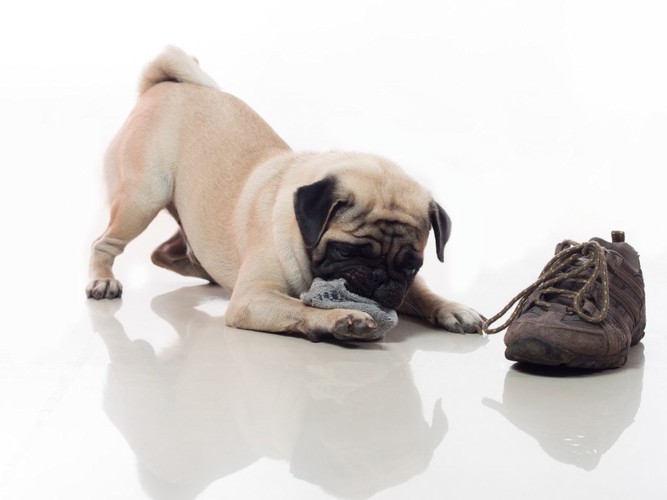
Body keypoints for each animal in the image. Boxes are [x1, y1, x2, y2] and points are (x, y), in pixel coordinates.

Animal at [87, 46, 486, 340]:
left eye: (411, 265)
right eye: (345, 251)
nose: (377, 279)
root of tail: (160, 86)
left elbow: (420, 292)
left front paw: (453, 309)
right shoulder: (252, 298)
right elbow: (300, 307)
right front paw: (342, 317)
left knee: (168, 251)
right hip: (142, 199)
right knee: (106, 243)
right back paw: (102, 280)